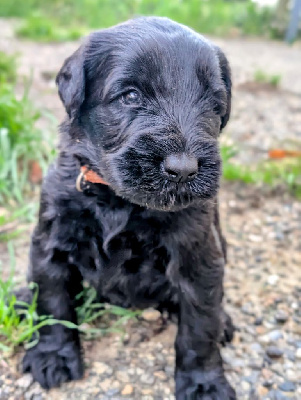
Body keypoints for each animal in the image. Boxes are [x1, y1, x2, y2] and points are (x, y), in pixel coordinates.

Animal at [23, 17, 234, 398]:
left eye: (214, 103)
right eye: (131, 95)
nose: (183, 169)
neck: (117, 201)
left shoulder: (199, 257)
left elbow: (200, 327)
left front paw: (204, 382)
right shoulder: (51, 242)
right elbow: (52, 302)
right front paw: (53, 355)